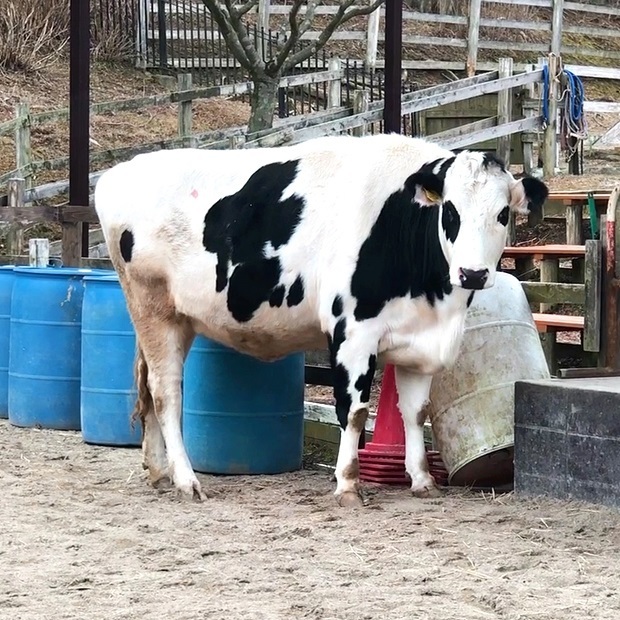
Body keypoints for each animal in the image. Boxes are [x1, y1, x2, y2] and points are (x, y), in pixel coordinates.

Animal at [93, 133, 548, 506]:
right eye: (450, 212)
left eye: (503, 213)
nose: (473, 273)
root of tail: (120, 171)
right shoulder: (353, 332)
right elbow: (355, 411)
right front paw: (347, 484)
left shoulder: (417, 341)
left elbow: (415, 413)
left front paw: (421, 480)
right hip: (153, 310)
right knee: (166, 393)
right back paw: (186, 480)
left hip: (174, 319)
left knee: (147, 388)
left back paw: (158, 471)